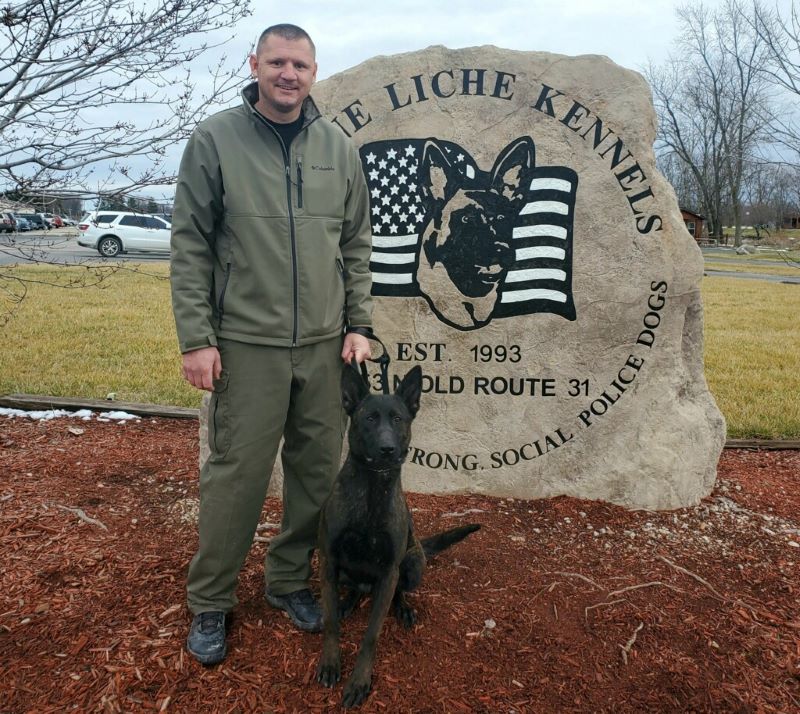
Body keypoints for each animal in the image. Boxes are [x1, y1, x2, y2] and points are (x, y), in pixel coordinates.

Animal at [318, 364, 482, 704]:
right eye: (369, 418)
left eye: (398, 419)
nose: (387, 449)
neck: (372, 491)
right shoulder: (328, 561)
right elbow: (330, 624)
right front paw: (330, 661)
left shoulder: (389, 570)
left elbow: (371, 635)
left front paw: (359, 681)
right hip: (348, 573)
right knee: (355, 588)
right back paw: (347, 601)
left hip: (413, 564)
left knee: (398, 591)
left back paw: (403, 607)